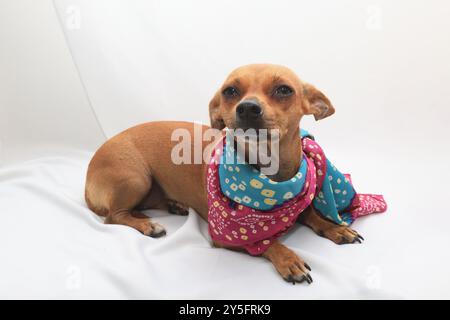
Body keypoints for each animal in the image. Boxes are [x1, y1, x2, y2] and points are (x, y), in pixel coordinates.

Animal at [86, 63, 364, 284]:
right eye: (230, 91)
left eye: (284, 90)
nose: (248, 107)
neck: (269, 177)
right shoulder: (228, 238)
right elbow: (263, 243)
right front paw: (287, 258)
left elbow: (311, 214)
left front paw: (334, 228)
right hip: (136, 179)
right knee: (113, 217)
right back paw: (147, 224)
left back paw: (174, 205)